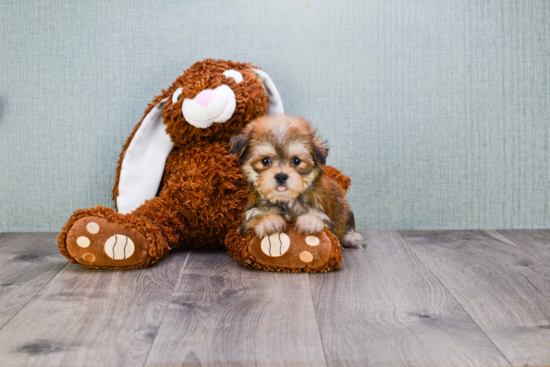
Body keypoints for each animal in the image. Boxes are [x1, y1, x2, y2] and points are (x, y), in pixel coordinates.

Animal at [229, 113, 366, 249]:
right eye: (265, 161)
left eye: (296, 161)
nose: (281, 176)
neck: (286, 201)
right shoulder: (245, 224)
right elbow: (255, 217)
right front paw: (269, 221)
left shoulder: (325, 216)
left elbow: (321, 218)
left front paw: (310, 221)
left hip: (344, 209)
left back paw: (352, 238)